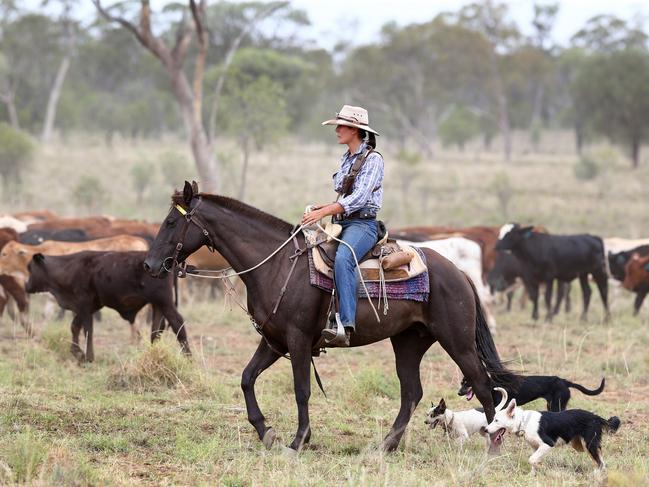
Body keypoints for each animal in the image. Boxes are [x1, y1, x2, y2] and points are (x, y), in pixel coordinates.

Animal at [26, 252, 189, 362]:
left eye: (30, 268)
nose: (26, 285)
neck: (69, 268)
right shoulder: (87, 307)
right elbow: (75, 327)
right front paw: (77, 353)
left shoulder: (84, 305)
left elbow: (87, 330)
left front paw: (88, 357)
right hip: (157, 306)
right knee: (156, 330)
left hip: (165, 302)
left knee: (177, 323)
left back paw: (188, 357)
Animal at [143, 182, 516, 454]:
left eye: (171, 222)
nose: (149, 265)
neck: (276, 266)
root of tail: (458, 273)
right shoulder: (274, 340)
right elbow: (247, 378)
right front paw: (266, 432)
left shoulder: (297, 340)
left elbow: (301, 390)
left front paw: (298, 441)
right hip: (409, 342)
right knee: (412, 392)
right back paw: (385, 446)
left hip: (457, 340)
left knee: (481, 384)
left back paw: (492, 446)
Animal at [458, 374, 604, 412]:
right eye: (461, 382)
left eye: (467, 383)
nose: (459, 393)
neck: (492, 385)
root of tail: (564, 381)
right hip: (552, 405)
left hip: (556, 406)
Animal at [486, 392, 616, 472]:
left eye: (496, 420)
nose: (486, 429)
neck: (523, 421)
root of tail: (596, 417)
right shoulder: (536, 447)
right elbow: (533, 461)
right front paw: (533, 475)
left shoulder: (547, 444)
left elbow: (531, 460)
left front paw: (539, 468)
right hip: (580, 445)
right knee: (600, 460)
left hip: (589, 444)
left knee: (601, 462)